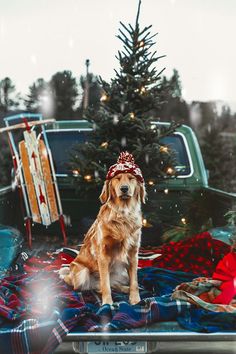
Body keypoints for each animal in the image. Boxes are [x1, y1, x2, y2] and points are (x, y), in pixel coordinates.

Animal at [59, 152, 146, 304]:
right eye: (117, 179)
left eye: (131, 178)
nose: (124, 188)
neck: (123, 213)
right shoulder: (103, 254)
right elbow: (105, 284)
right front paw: (107, 303)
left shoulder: (133, 253)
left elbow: (134, 281)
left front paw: (135, 299)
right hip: (82, 273)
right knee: (90, 287)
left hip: (122, 272)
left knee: (109, 284)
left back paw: (125, 289)